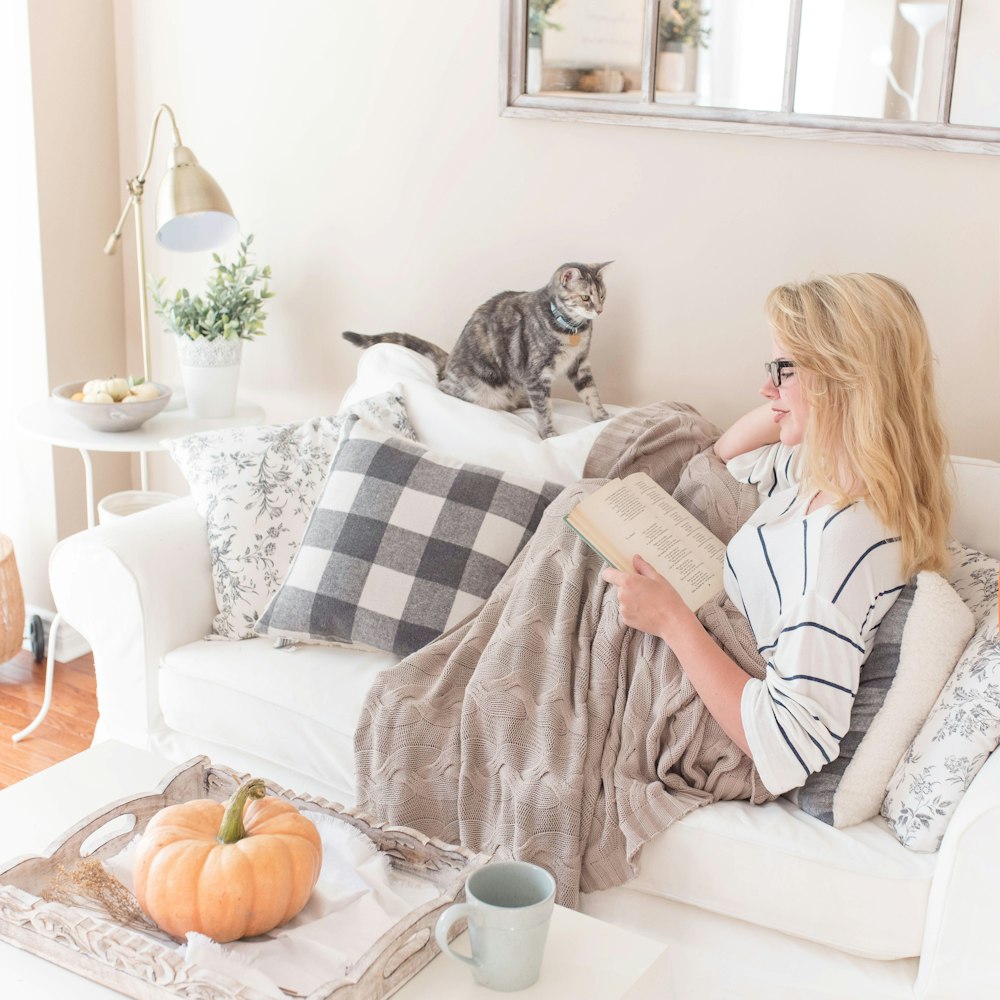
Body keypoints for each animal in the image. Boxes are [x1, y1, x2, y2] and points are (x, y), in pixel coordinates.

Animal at [342, 262, 608, 438]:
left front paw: (602, 417)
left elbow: (591, 392)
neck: (571, 330)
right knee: (443, 388)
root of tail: (448, 363)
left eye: (602, 295)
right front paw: (549, 433)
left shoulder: (579, 363)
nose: (599, 310)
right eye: (585, 297)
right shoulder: (535, 373)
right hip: (476, 386)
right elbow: (543, 408)